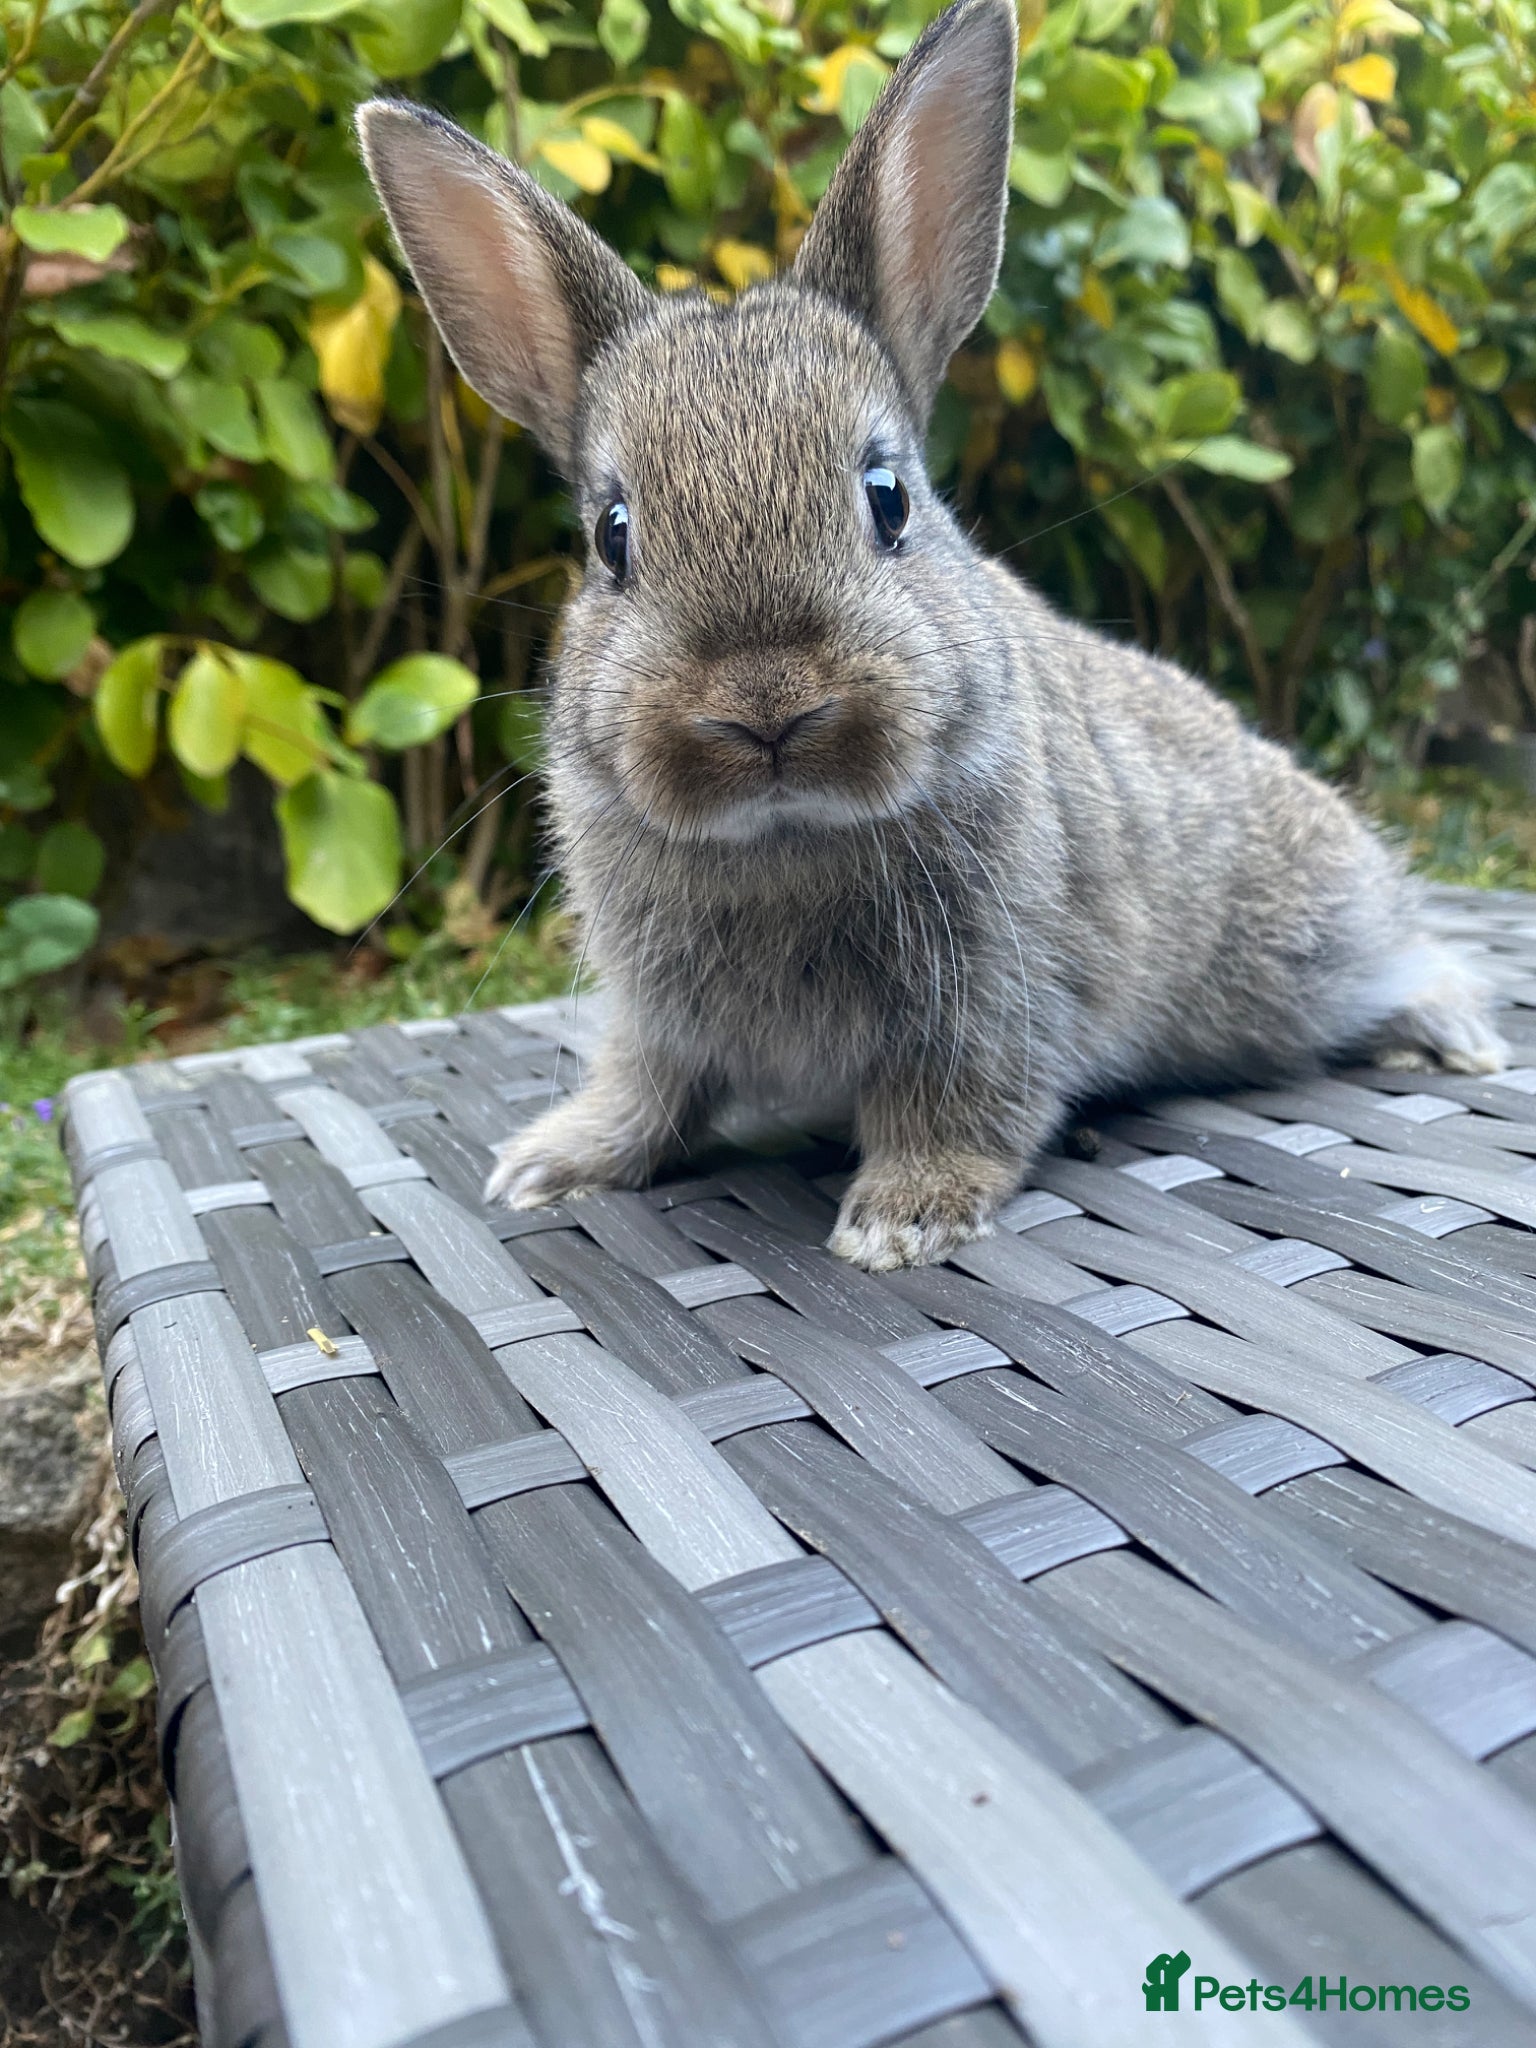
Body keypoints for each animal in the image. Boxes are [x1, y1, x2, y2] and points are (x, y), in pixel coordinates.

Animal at [358, 0, 1505, 1273]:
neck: (786, 834)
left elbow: (956, 1105)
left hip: (1307, 943)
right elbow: (647, 1090)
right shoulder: (659, 1023)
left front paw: (900, 1219)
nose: (767, 706)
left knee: (1408, 957)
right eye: (614, 537)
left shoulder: (991, 1001)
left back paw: (1445, 1037)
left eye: (887, 498)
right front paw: (553, 1163)